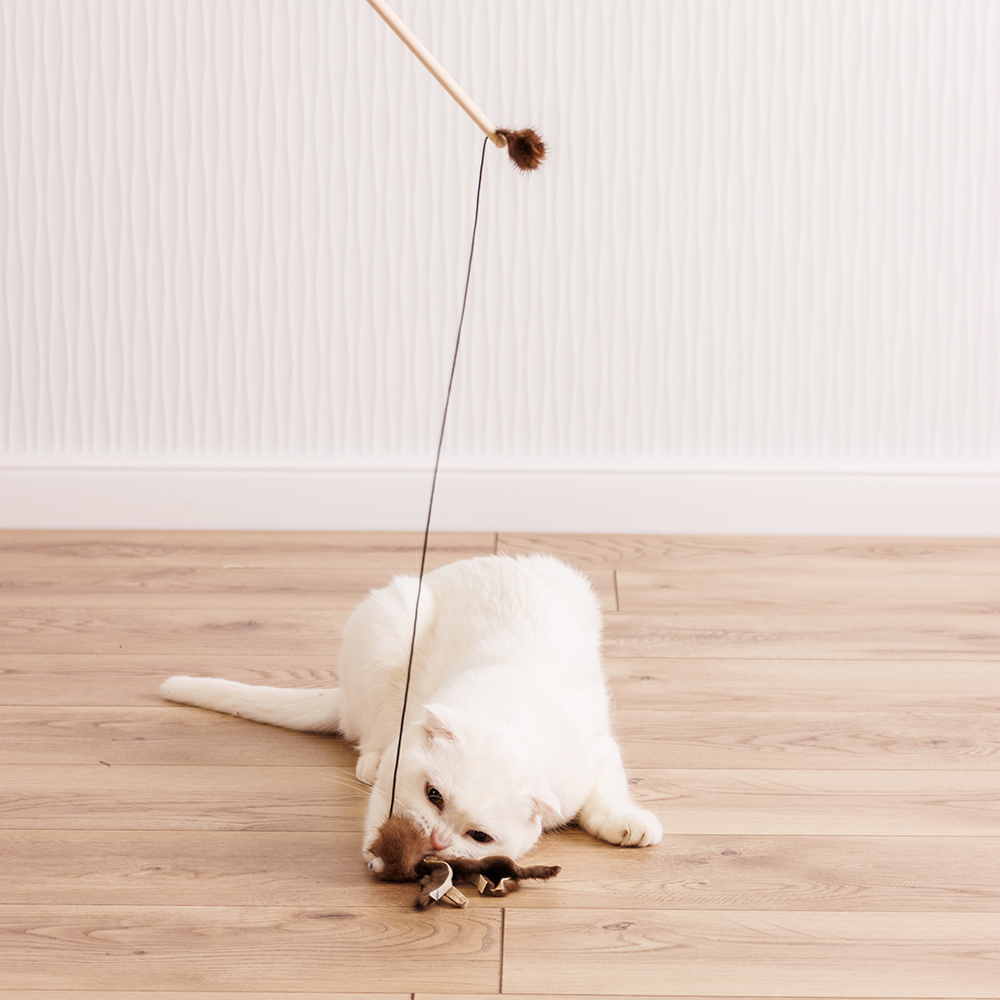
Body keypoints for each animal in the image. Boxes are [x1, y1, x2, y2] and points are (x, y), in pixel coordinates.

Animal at [160, 553, 662, 862]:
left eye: (479, 836)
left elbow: (608, 794)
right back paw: (368, 758)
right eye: (433, 795)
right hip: (389, 624)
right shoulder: (400, 759)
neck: (513, 716)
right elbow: (381, 804)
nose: (436, 839)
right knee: (367, 736)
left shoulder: (597, 753)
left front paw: (627, 823)